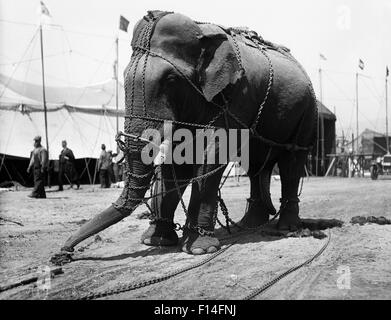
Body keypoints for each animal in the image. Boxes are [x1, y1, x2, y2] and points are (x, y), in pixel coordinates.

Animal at [52, 10, 318, 260]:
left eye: (170, 79)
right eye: (125, 77)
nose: (64, 252)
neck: (203, 35)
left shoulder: (238, 96)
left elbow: (211, 156)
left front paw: (199, 249)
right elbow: (176, 158)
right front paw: (156, 242)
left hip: (307, 114)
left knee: (291, 163)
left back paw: (286, 229)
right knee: (255, 165)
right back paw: (248, 224)